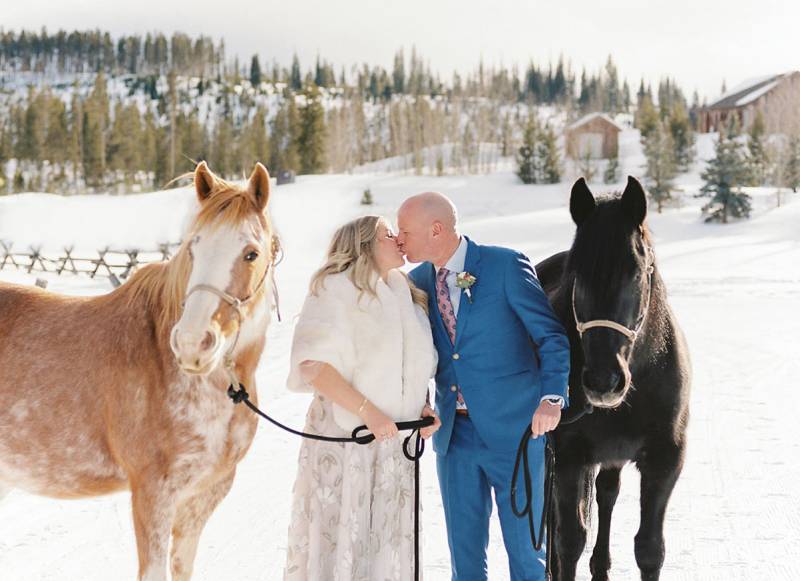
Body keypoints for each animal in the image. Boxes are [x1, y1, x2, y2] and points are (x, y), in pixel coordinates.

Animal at [536, 177, 692, 580]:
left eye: (636, 271)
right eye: (578, 274)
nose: (602, 381)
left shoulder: (665, 459)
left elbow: (649, 549)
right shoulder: (568, 457)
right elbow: (569, 540)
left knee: (607, 493)